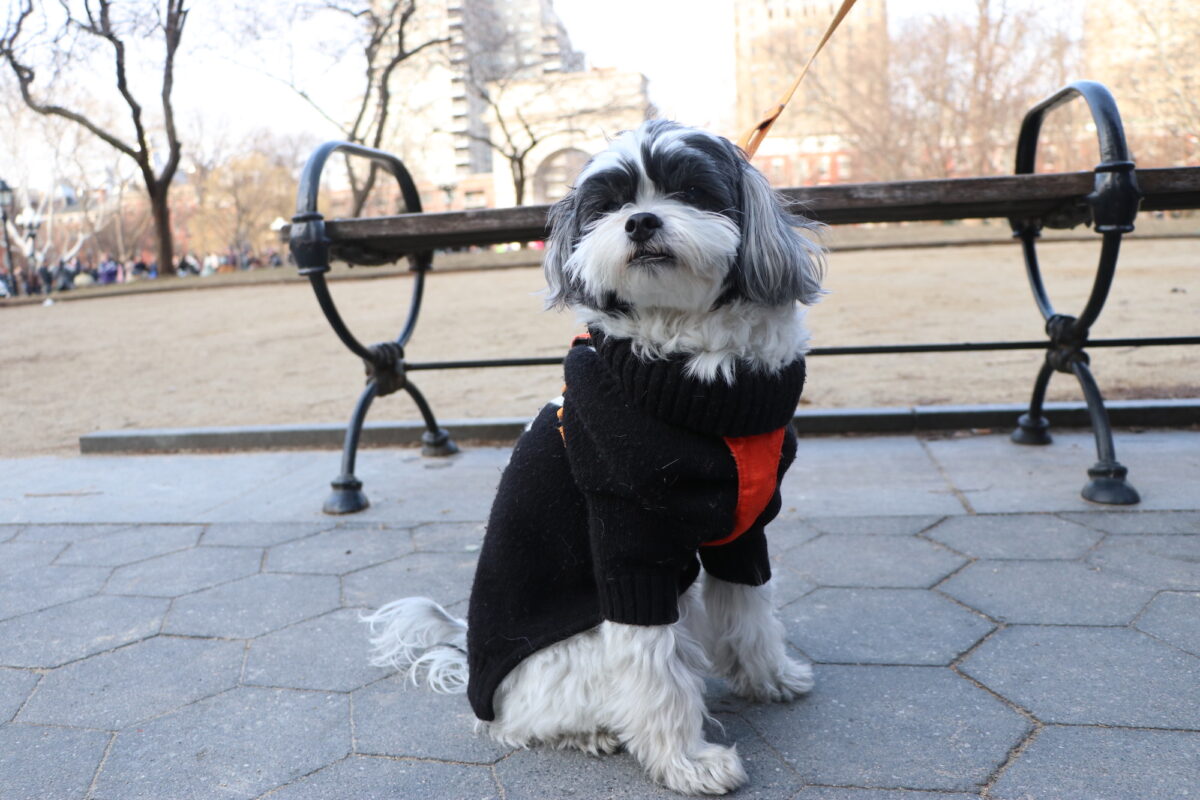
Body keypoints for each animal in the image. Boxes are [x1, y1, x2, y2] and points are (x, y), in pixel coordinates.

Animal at [362, 118, 825, 796]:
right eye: (609, 206)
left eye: (691, 191)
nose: (640, 222)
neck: (691, 376)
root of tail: (475, 668)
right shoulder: (629, 544)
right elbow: (653, 669)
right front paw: (686, 762)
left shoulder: (744, 530)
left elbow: (751, 609)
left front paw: (769, 676)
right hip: (575, 654)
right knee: (530, 720)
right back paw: (592, 733)